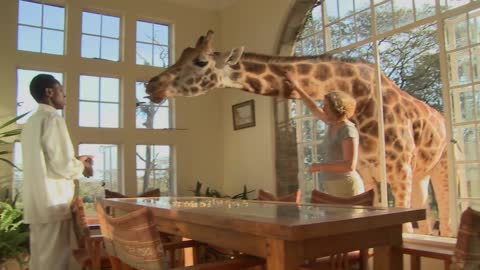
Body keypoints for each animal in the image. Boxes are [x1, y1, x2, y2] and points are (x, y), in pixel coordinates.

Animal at [146, 30, 454, 236]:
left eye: (200, 61)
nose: (151, 85)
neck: (357, 92)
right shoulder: (367, 170)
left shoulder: (399, 166)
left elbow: (407, 227)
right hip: (419, 173)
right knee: (428, 216)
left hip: (439, 167)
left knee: (444, 216)